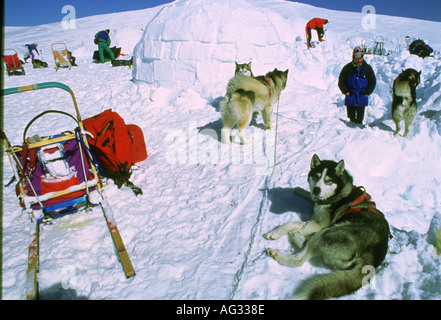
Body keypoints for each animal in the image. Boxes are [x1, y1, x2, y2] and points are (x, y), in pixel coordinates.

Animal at [262, 155, 388, 300]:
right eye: (316, 177)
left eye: (328, 180)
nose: (317, 189)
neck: (338, 192)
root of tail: (372, 257)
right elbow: (311, 198)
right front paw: (300, 190)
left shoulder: (319, 224)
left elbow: (290, 223)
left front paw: (274, 232)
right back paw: (296, 236)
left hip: (328, 232)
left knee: (299, 259)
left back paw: (278, 252)